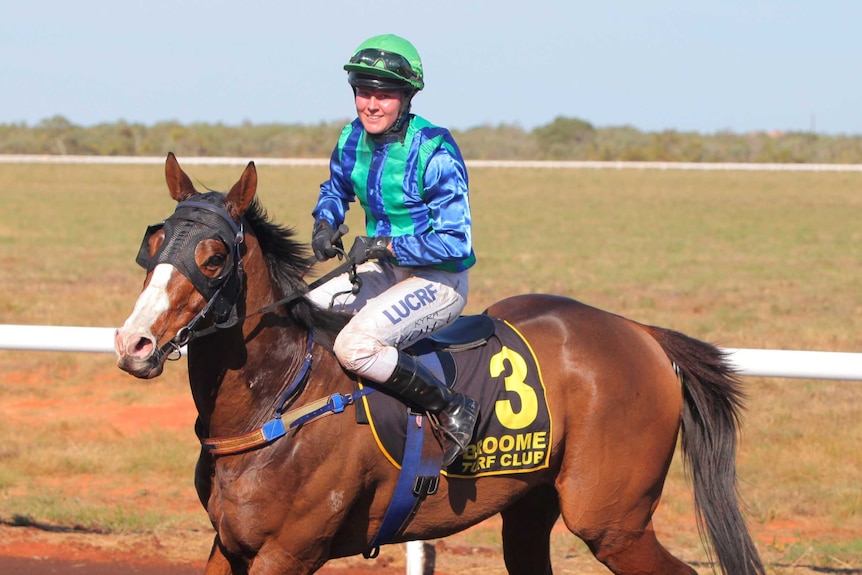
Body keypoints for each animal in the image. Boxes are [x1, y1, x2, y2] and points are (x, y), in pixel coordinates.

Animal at [113, 153, 764, 575]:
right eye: (154, 243)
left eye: (213, 256)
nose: (134, 344)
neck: (277, 400)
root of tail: (641, 333)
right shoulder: (229, 545)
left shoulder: (287, 552)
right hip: (531, 507)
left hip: (612, 521)